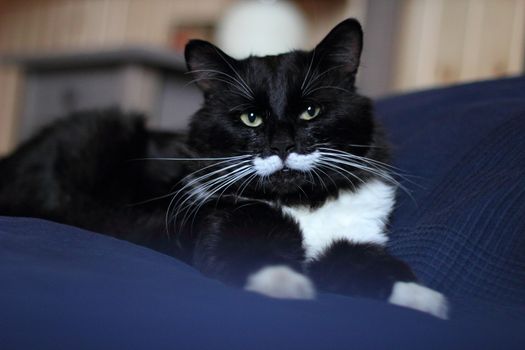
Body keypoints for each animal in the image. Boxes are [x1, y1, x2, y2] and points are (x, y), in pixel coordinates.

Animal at [0, 19, 448, 320]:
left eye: (310, 111)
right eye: (250, 118)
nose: (281, 146)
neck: (302, 203)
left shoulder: (352, 238)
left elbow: (376, 266)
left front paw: (425, 300)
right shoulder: (221, 220)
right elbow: (250, 256)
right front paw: (283, 283)